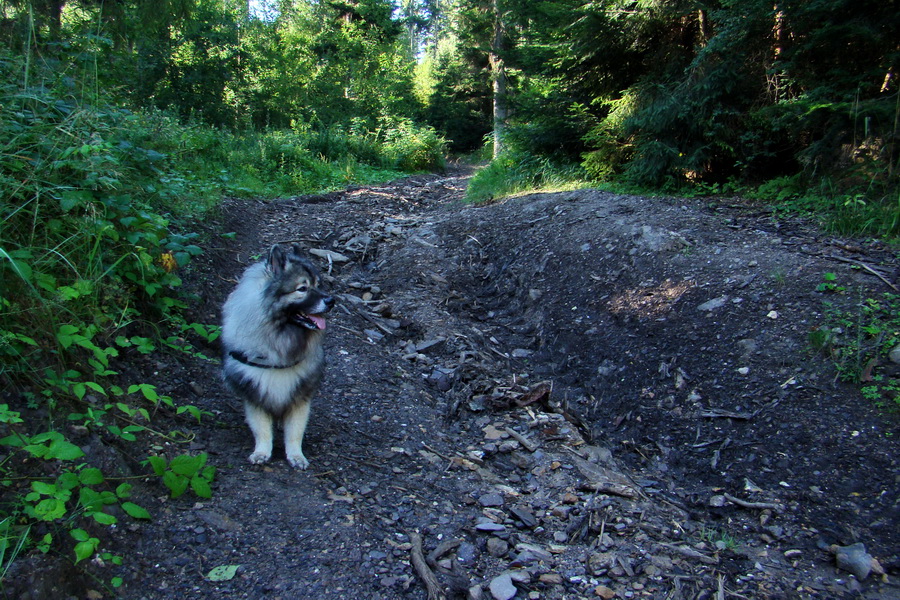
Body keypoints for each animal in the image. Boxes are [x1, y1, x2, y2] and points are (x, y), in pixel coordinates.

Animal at [223, 244, 336, 468]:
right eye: (302, 288)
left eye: (318, 284)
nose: (331, 301)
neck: (280, 337)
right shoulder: (255, 394)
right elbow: (262, 429)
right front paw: (261, 453)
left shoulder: (300, 396)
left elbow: (295, 432)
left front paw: (296, 456)